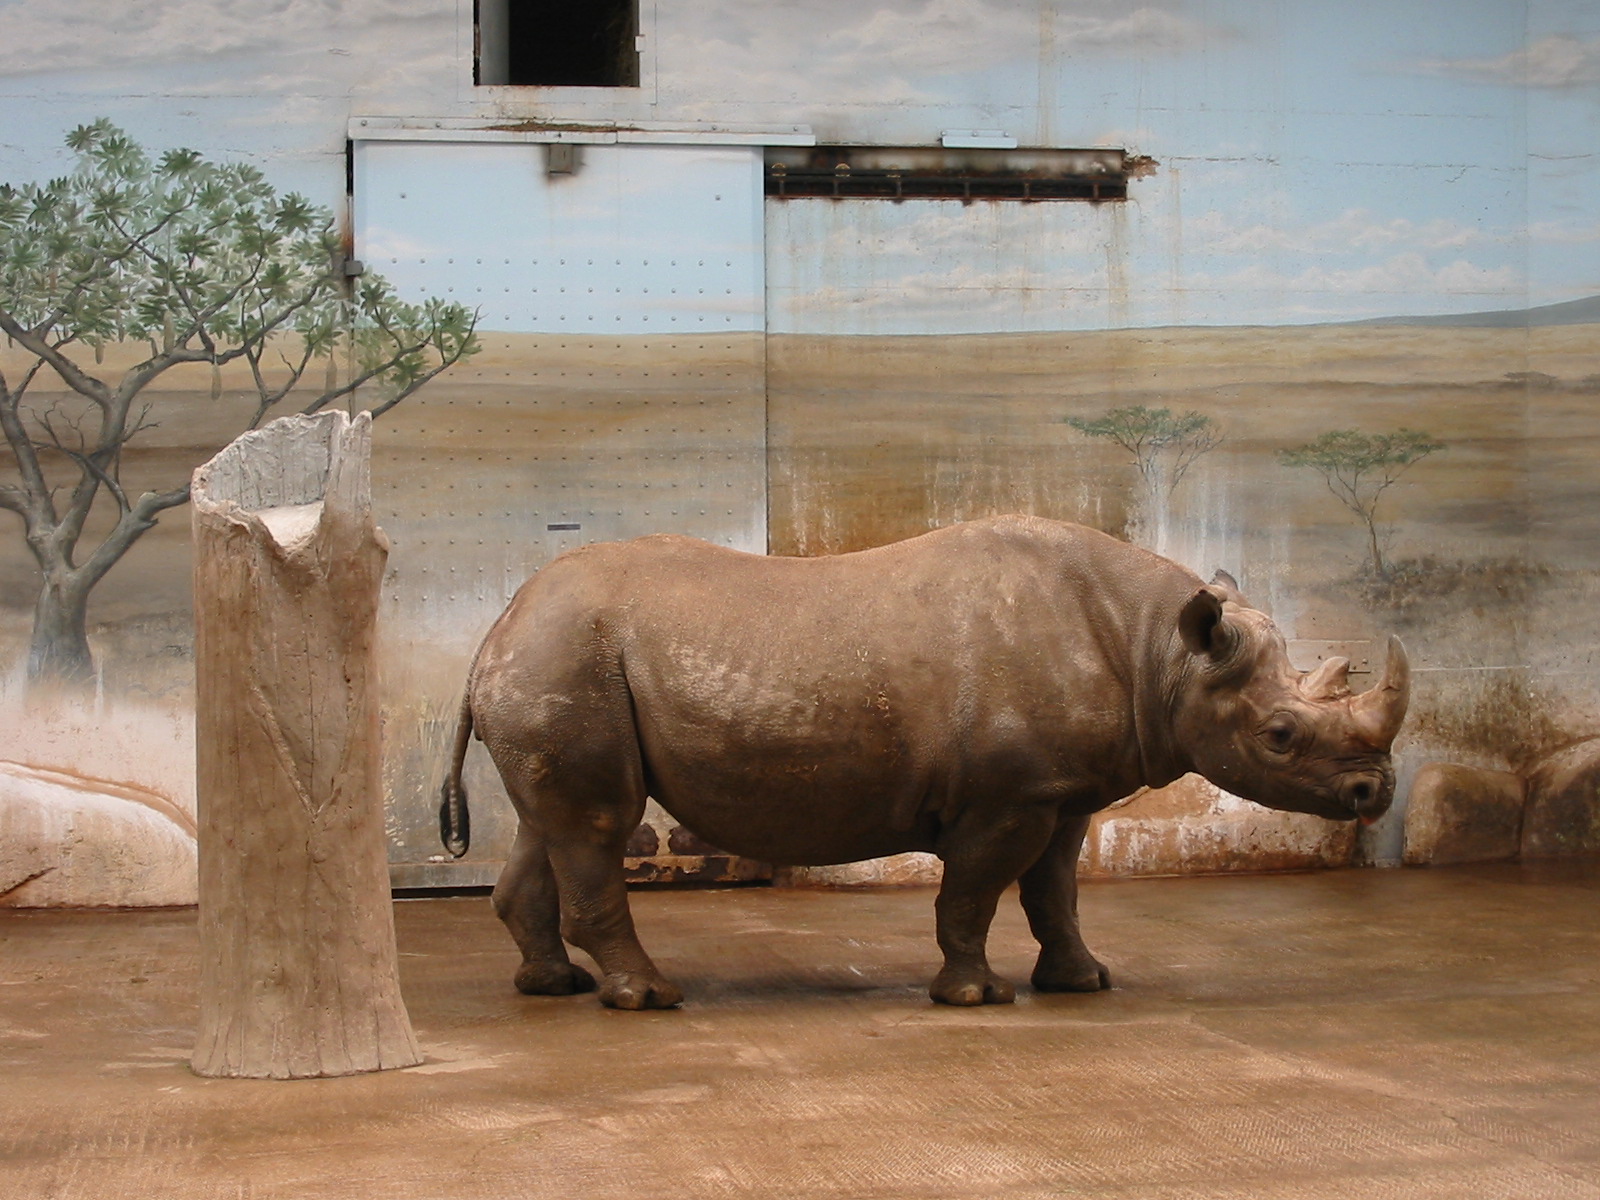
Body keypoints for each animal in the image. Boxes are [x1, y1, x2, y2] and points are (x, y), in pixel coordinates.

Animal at [440, 515, 1409, 1010]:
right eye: (1280, 736)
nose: (1377, 790)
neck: (1160, 654)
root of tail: (495, 627)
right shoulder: (1008, 795)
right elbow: (973, 892)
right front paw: (974, 997)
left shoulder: (1063, 792)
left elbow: (1055, 891)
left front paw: (1082, 984)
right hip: (570, 658)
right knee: (598, 823)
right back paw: (649, 997)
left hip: (559, 663)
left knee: (552, 824)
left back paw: (552, 987)